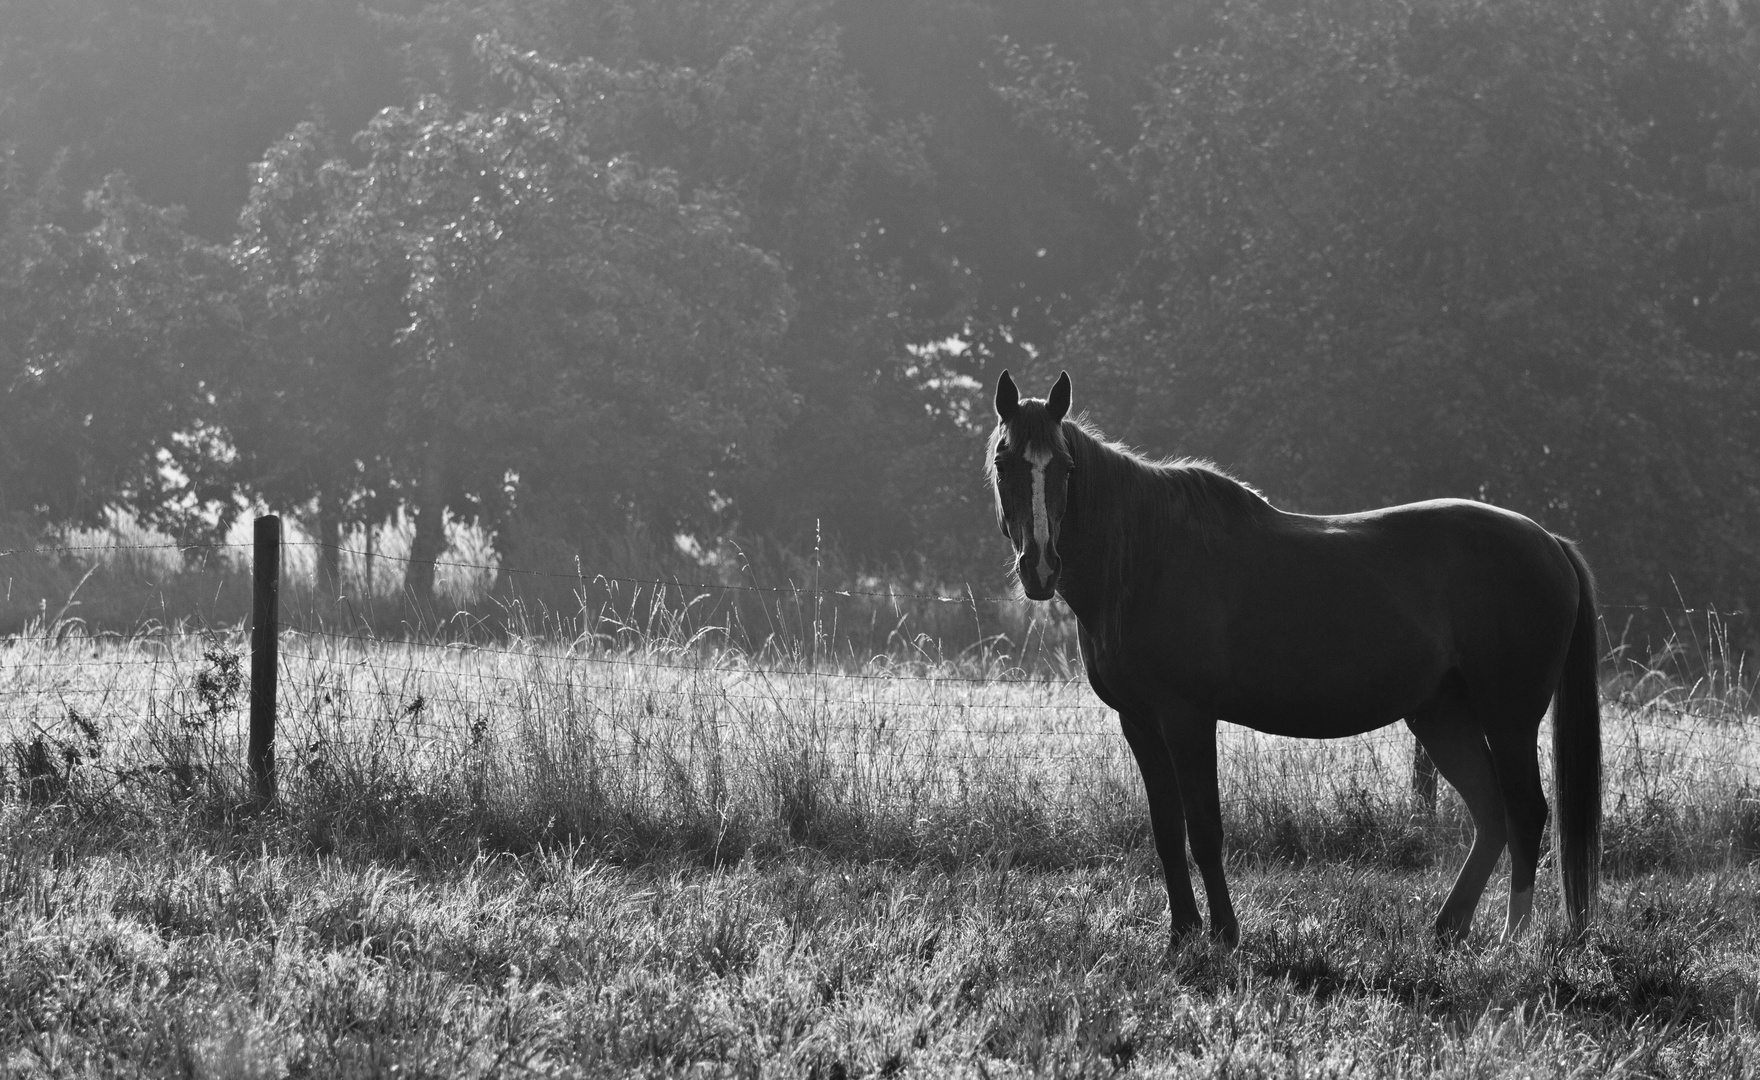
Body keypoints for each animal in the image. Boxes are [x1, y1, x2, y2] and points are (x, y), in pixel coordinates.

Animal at [985, 372, 1605, 949]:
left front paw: (1224, 933)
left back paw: (1511, 940)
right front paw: (1182, 933)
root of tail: (1549, 541)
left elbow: (1204, 828)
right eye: (1003, 461)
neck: (1147, 559)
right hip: (1441, 716)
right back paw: (1449, 928)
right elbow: (1166, 830)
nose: (1040, 567)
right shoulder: (1139, 722)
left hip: (1509, 718)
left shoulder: (1187, 718)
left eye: (1065, 467)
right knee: (1491, 813)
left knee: (1526, 812)